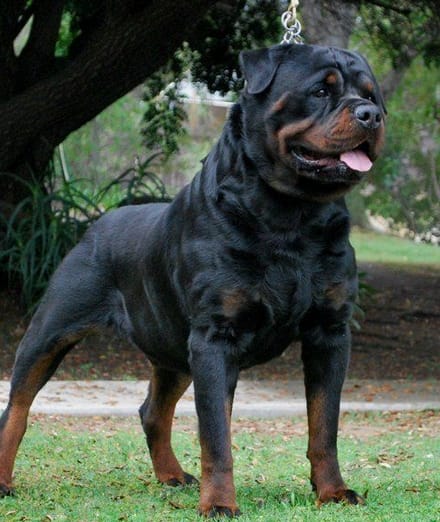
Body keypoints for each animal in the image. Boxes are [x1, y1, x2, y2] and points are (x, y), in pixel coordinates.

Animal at [0, 43, 385, 517]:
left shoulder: (329, 332)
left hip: (172, 346)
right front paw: (219, 503)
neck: (291, 215)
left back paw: (171, 475)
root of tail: (98, 223)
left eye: (371, 93)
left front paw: (332, 491)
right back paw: (4, 478)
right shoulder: (215, 338)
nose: (371, 115)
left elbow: (324, 426)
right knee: (18, 405)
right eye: (320, 91)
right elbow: (216, 436)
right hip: (52, 330)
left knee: (152, 410)